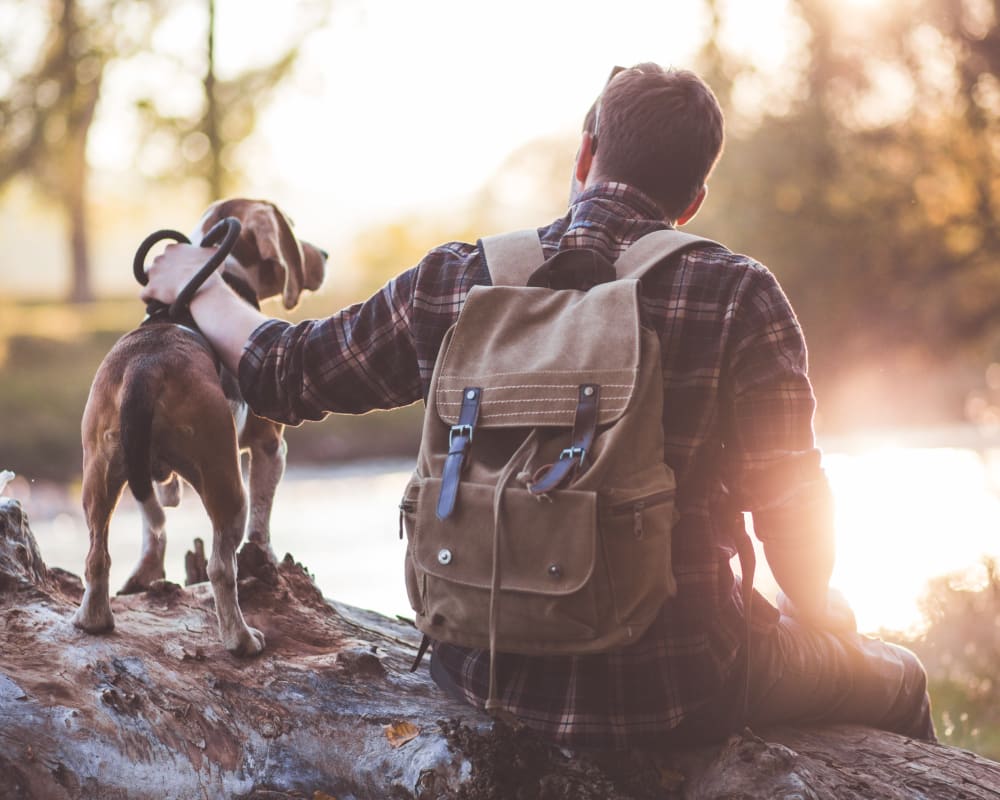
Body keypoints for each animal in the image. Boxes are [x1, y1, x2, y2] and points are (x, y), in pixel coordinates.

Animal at [75, 198, 324, 656]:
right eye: (293, 228)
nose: (326, 256)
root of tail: (145, 365)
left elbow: (152, 526)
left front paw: (147, 571)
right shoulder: (270, 448)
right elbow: (262, 522)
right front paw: (265, 555)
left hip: (99, 478)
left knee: (97, 557)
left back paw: (93, 619)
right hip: (227, 486)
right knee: (221, 568)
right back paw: (241, 639)